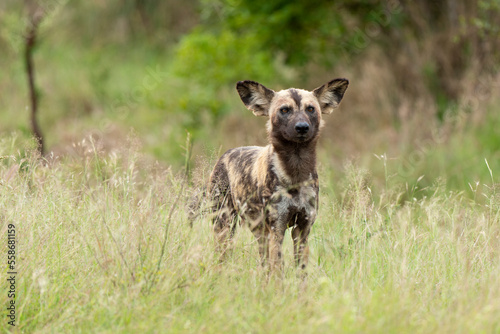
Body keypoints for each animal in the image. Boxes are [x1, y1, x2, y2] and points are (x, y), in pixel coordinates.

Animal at [207, 78, 348, 272]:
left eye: (310, 109)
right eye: (285, 110)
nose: (302, 127)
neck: (295, 172)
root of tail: (226, 153)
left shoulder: (302, 231)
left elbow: (301, 272)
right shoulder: (277, 230)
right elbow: (278, 272)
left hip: (259, 232)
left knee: (263, 262)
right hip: (224, 225)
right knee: (223, 256)